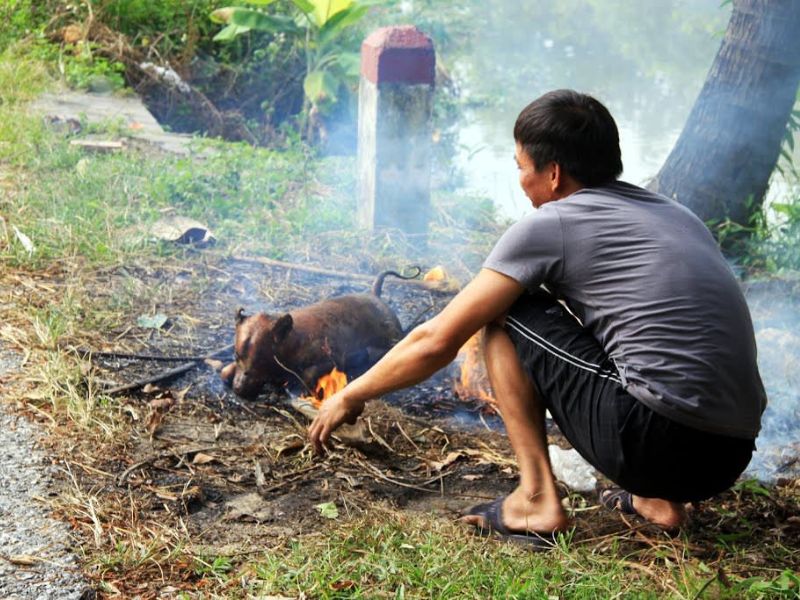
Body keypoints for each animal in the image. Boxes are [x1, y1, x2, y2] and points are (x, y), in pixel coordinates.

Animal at [222, 270, 416, 398]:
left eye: (262, 359)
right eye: (236, 355)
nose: (238, 389)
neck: (293, 342)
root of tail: (375, 295)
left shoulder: (332, 359)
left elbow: (307, 376)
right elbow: (225, 371)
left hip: (393, 337)